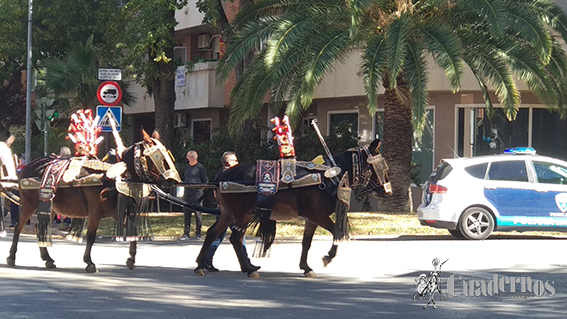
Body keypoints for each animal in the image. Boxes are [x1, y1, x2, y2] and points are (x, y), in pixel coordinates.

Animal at [6, 131, 180, 274]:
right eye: (158, 156)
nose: (172, 180)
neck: (115, 177)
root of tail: (26, 167)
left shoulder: (116, 213)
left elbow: (133, 231)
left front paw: (131, 259)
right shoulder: (94, 212)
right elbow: (91, 237)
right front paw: (89, 262)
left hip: (50, 206)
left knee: (39, 226)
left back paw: (47, 258)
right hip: (30, 204)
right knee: (19, 226)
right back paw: (12, 257)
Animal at [193, 140, 388, 278]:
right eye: (379, 166)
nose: (387, 190)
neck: (329, 177)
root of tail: (223, 175)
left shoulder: (312, 218)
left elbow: (306, 242)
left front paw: (306, 267)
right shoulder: (318, 215)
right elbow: (337, 232)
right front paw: (328, 257)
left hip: (228, 213)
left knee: (212, 233)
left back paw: (201, 265)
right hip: (242, 214)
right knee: (235, 238)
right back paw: (248, 268)